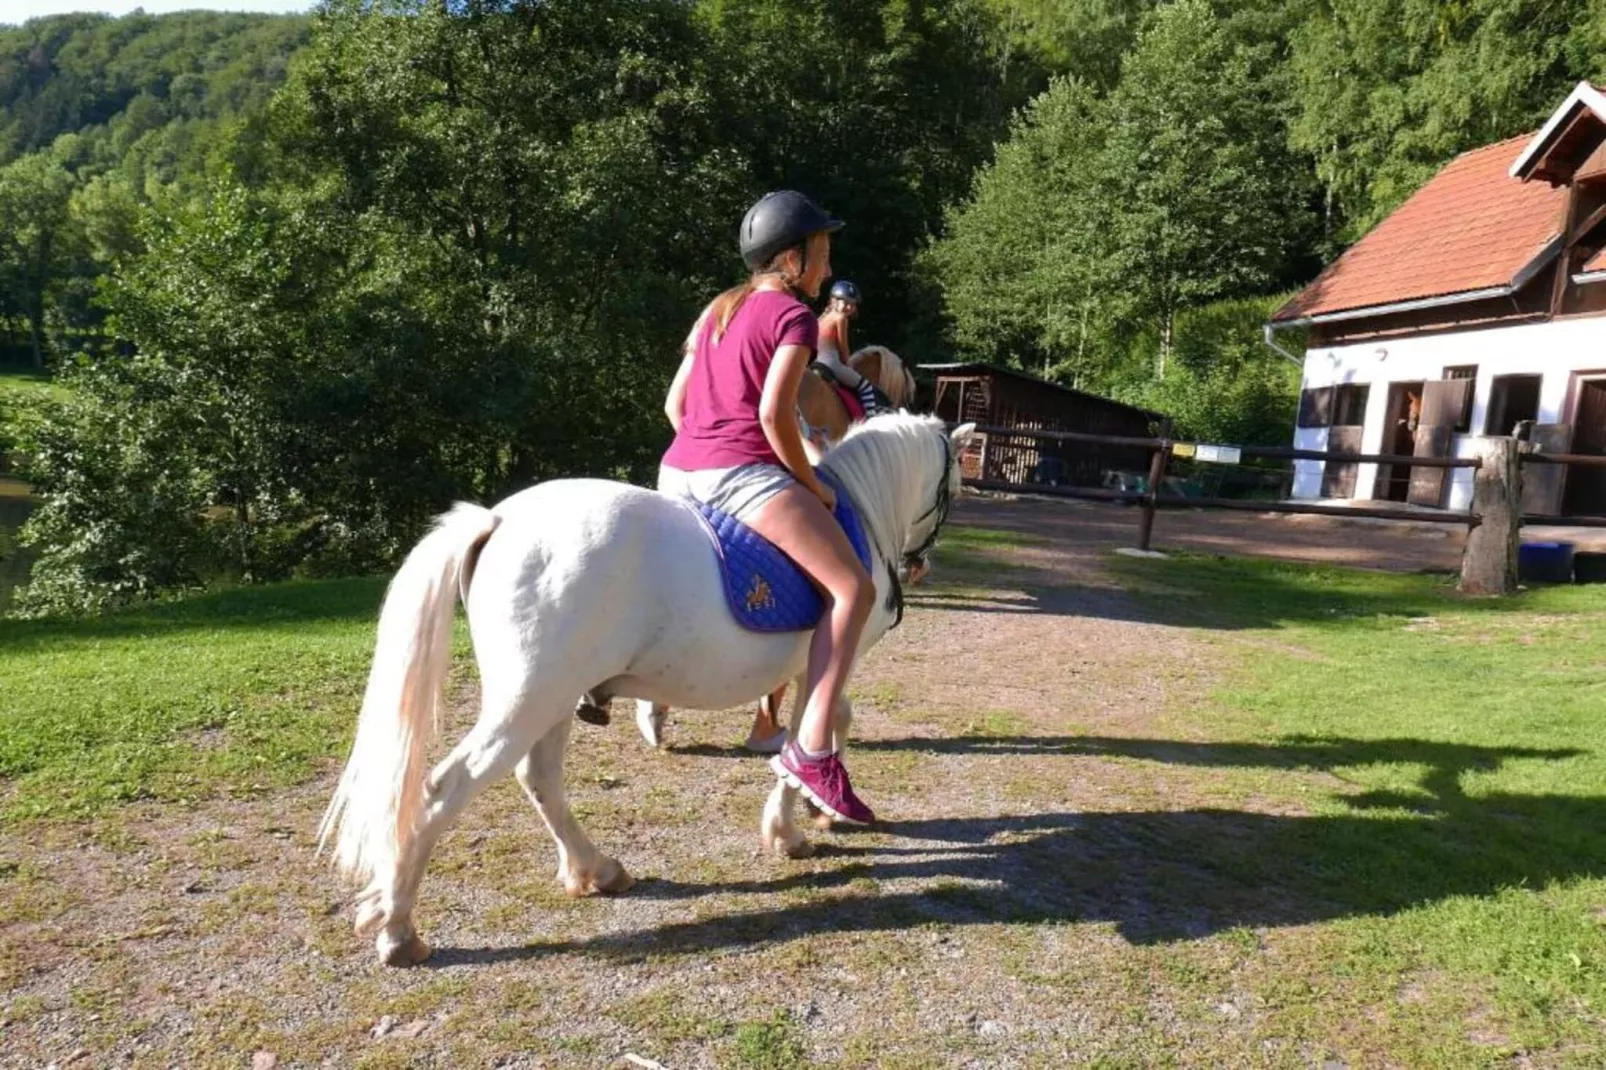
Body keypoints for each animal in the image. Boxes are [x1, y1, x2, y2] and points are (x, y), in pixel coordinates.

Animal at [319, 411, 970, 963]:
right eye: (955, 488)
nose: (921, 567)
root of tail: (497, 520)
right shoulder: (828, 657)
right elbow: (818, 725)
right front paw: (793, 826)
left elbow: (832, 720)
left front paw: (819, 806)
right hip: (531, 697)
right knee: (444, 790)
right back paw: (399, 930)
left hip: (553, 694)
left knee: (540, 778)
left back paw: (594, 869)